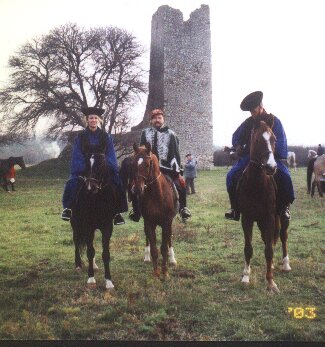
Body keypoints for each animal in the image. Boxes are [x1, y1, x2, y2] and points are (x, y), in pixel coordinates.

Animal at [71, 154, 117, 290]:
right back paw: (78, 265)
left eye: (101, 164)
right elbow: (90, 252)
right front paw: (91, 279)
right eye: (87, 164)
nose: (90, 187)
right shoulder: (88, 227)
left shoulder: (107, 228)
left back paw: (95, 265)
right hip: (75, 225)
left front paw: (109, 281)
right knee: (76, 242)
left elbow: (105, 253)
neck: (97, 200)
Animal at [130, 143, 180, 278]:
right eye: (133, 164)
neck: (156, 195)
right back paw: (147, 258)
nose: (137, 189)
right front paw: (156, 272)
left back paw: (172, 259)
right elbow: (154, 249)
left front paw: (165, 271)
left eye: (147, 165)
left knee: (169, 240)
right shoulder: (149, 223)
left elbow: (163, 247)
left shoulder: (166, 223)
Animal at [235, 121, 292, 294]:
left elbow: (269, 250)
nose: (271, 167)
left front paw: (271, 282)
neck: (256, 185)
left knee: (283, 237)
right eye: (257, 140)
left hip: (281, 218)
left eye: (274, 139)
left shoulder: (268, 218)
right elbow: (248, 248)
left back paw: (286, 264)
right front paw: (245, 277)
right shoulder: (247, 218)